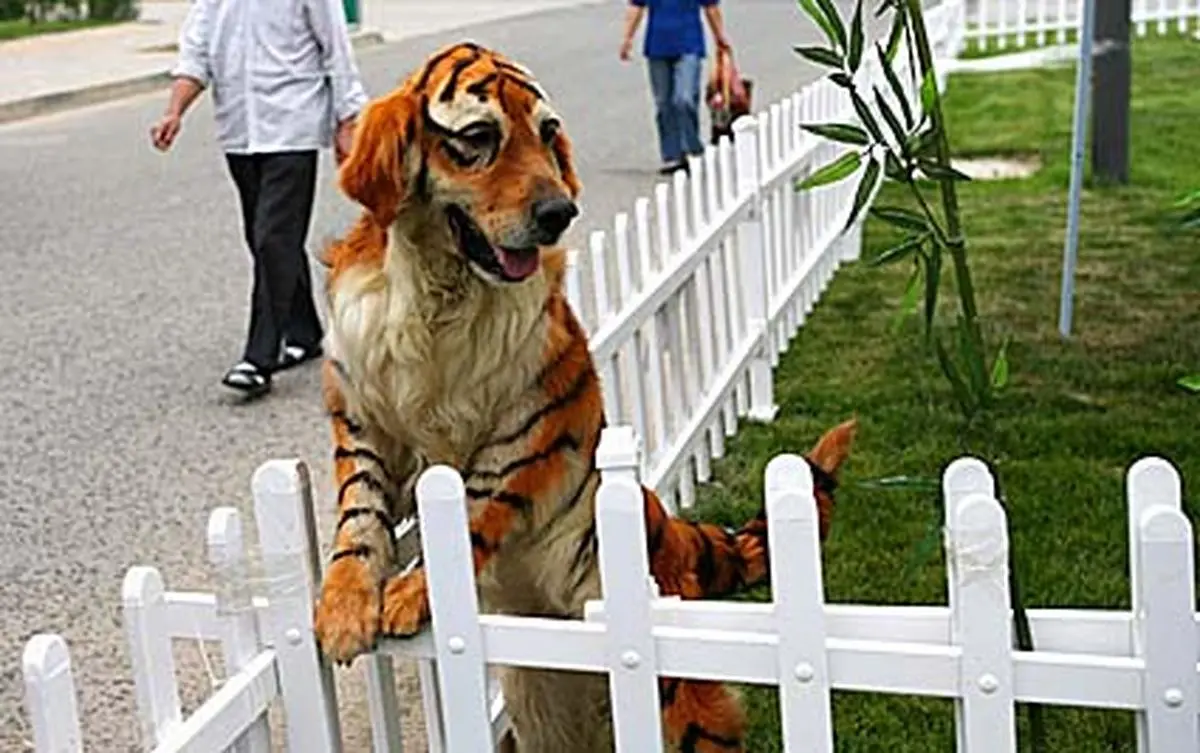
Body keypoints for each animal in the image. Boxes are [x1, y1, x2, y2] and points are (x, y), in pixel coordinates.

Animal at [310, 40, 858, 752]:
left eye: (547, 135)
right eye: (480, 138)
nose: (558, 214)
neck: (441, 295)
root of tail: (668, 528)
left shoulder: (528, 427)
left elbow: (472, 508)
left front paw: (412, 590)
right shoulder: (363, 420)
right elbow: (358, 518)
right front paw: (344, 607)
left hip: (676, 701)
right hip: (540, 699)